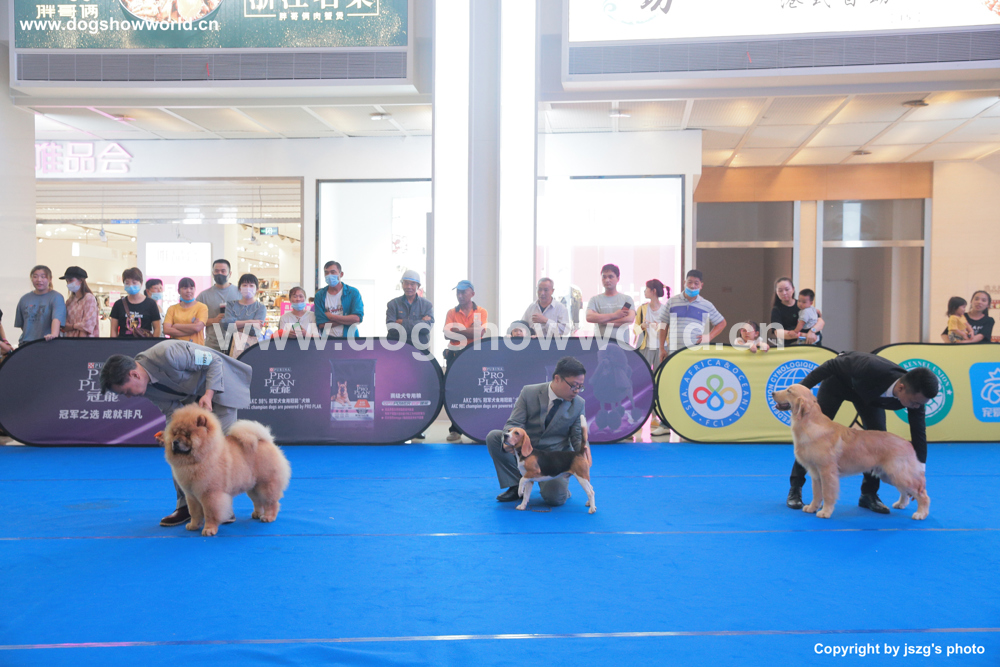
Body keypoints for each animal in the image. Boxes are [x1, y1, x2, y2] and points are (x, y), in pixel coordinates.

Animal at [161, 405, 292, 536]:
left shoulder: (210, 494)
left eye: (188, 435)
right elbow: (195, 512)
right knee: (258, 501)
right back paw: (257, 514)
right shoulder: (191, 495)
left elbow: (210, 513)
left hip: (266, 484)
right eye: (175, 434)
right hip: (253, 487)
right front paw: (193, 526)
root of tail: (265, 440)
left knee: (271, 502)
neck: (202, 457)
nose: (175, 442)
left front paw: (209, 529)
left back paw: (268, 517)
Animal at [772, 384, 929, 520]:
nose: (772, 393)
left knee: (922, 493)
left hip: (897, 473)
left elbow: (827, 493)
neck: (809, 424)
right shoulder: (815, 472)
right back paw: (901, 504)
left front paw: (825, 512)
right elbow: (817, 493)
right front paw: (812, 508)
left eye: (789, 391)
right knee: (905, 491)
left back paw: (920, 513)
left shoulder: (827, 471)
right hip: (889, 474)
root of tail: (908, 443)